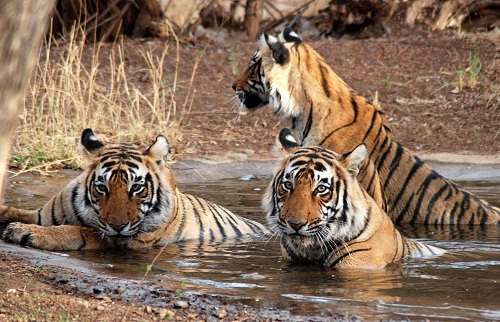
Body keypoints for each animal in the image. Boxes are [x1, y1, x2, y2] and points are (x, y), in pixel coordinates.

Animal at [0, 128, 268, 252]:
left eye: (137, 188)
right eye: (102, 188)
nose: (118, 226)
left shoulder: (123, 239)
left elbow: (77, 231)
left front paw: (25, 232)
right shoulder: (42, 214)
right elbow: (13, 210)